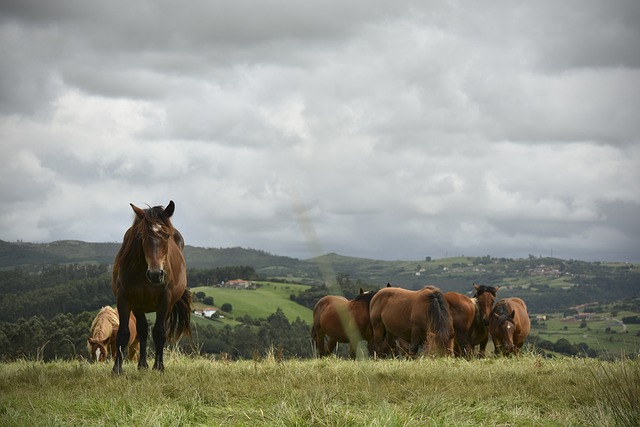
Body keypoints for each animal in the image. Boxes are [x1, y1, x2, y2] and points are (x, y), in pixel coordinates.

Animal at [111, 201, 191, 374]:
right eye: (141, 235)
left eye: (166, 235)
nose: (155, 274)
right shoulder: (125, 300)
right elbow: (123, 333)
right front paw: (117, 369)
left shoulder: (165, 301)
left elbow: (159, 333)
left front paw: (159, 367)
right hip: (138, 307)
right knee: (142, 331)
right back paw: (142, 364)